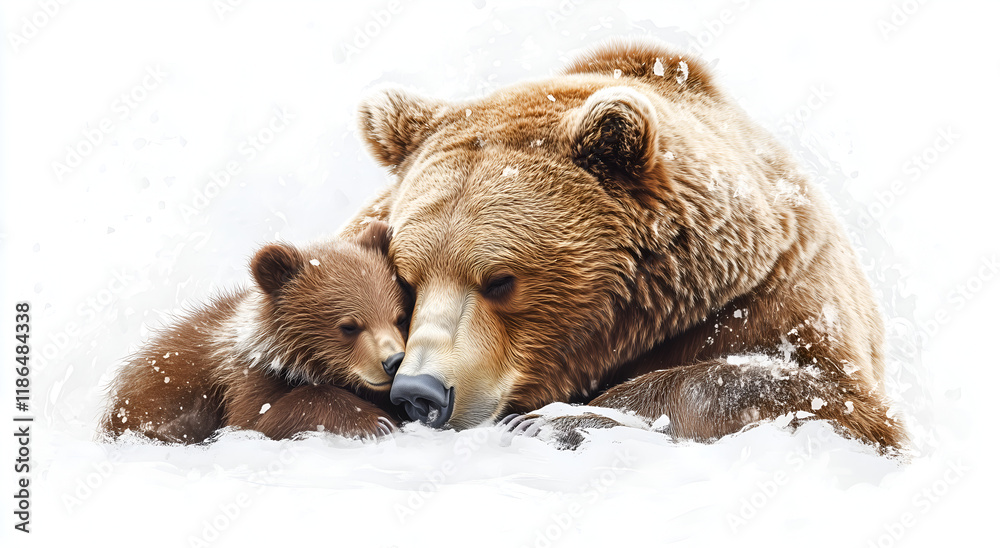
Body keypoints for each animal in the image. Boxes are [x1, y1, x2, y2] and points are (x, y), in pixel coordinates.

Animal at [100, 220, 410, 443]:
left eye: (399, 318)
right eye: (349, 326)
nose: (393, 361)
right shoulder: (243, 382)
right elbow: (257, 421)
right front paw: (375, 421)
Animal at [344, 39, 905, 451]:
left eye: (500, 280)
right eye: (408, 278)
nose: (420, 392)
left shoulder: (775, 295)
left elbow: (824, 398)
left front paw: (555, 421)